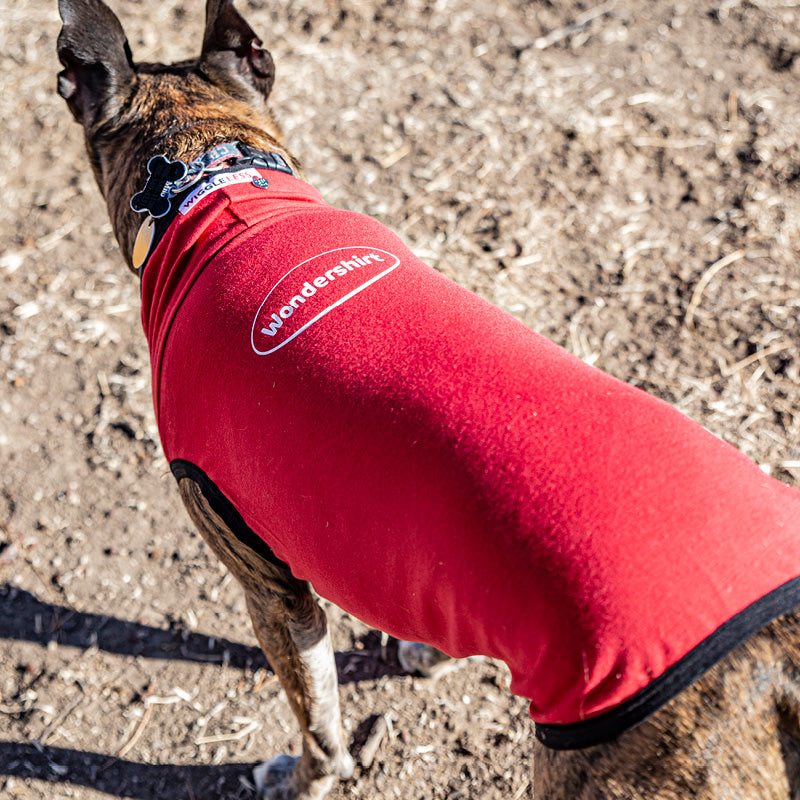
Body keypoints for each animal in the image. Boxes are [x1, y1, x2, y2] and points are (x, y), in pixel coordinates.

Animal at [56, 1, 800, 800]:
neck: (213, 185)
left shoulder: (272, 588)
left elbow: (318, 721)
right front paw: (431, 654)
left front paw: (304, 778)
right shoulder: (430, 563)